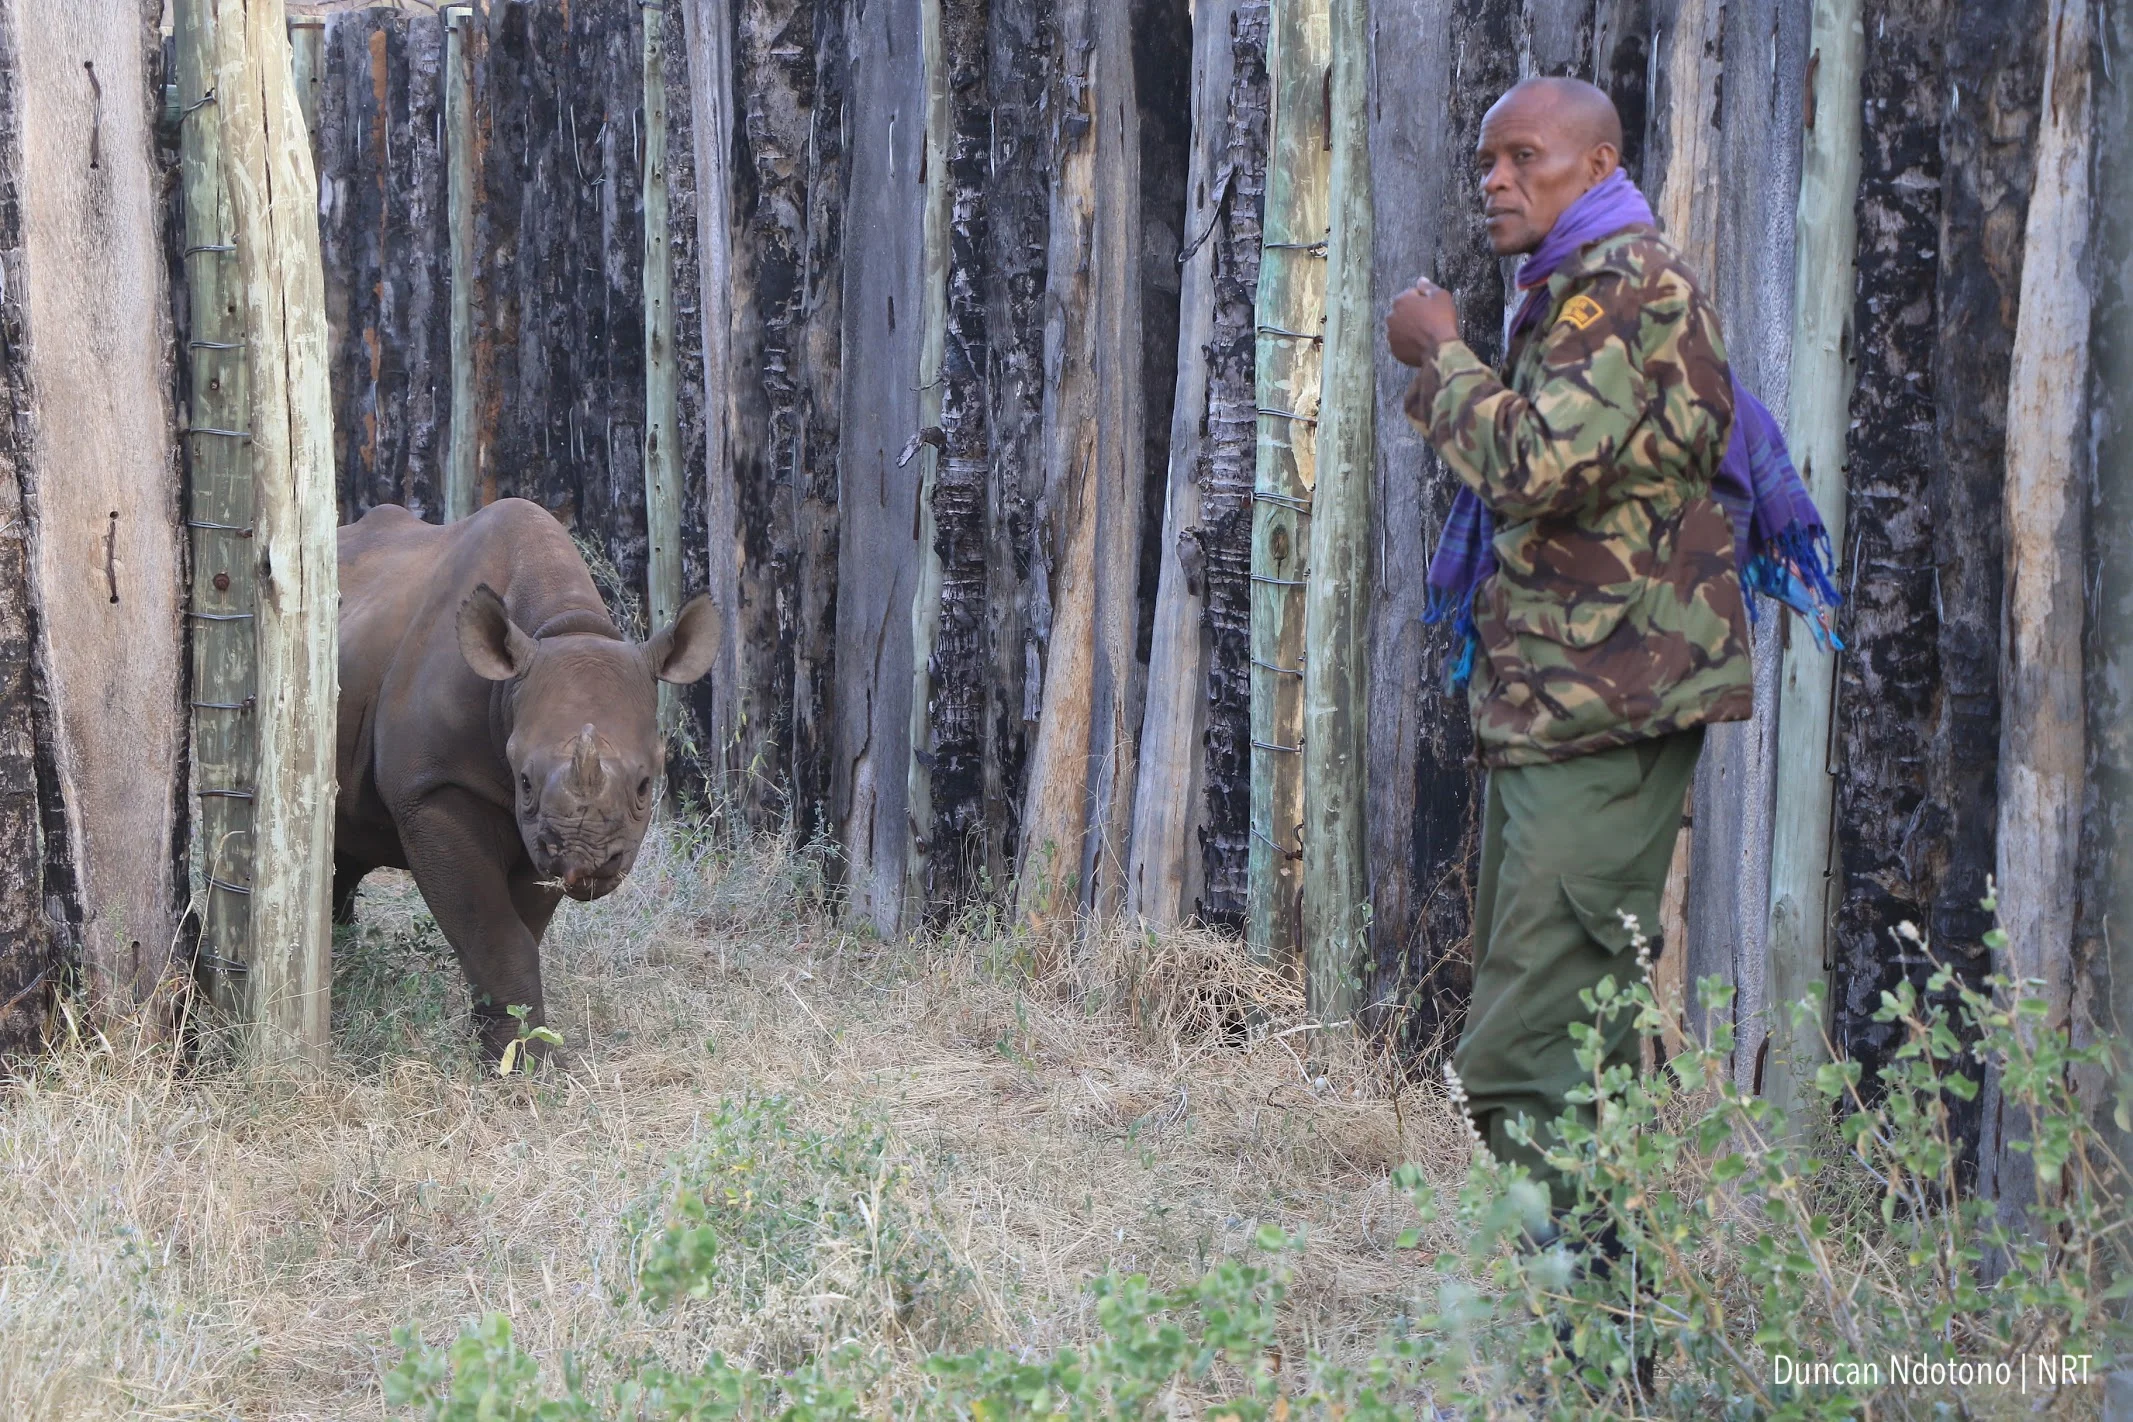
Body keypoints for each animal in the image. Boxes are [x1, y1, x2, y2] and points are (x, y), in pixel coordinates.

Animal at [335, 499, 719, 1059]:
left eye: (646, 786)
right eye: (525, 782)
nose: (585, 861)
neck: (559, 625)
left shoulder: (539, 839)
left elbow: (519, 930)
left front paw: (515, 1053)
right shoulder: (432, 789)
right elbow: (495, 933)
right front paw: (518, 1065)